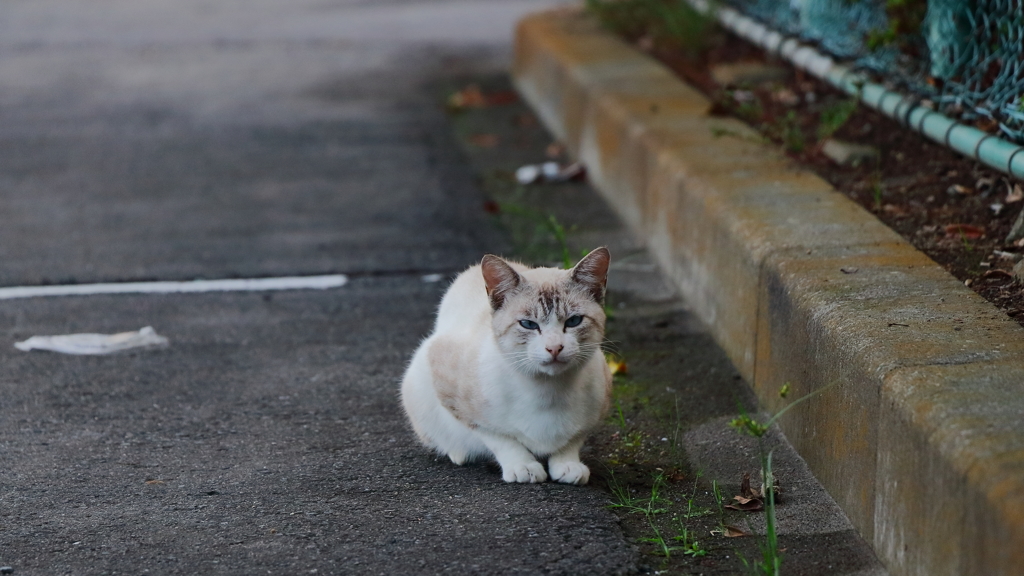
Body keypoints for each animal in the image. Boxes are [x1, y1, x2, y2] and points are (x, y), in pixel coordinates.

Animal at [397, 248, 606, 483]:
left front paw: (567, 464)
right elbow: (500, 438)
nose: (554, 348)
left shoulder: (597, 407)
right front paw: (523, 466)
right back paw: (458, 453)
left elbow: (573, 439)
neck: (548, 392)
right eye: (528, 324)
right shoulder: (454, 395)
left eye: (573, 321)